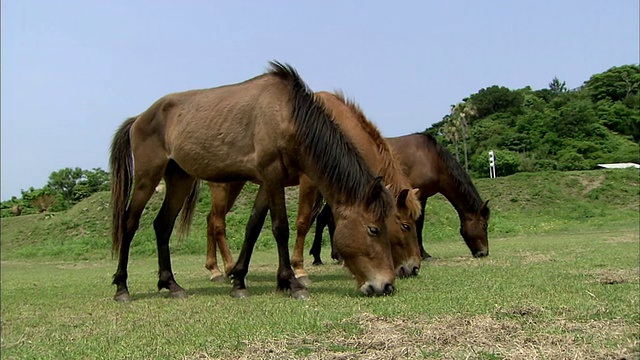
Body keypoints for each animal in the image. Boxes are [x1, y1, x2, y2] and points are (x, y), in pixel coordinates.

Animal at [110, 61, 400, 300]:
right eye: (373, 229)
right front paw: (292, 283)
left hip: (179, 179)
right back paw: (122, 288)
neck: (288, 115)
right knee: (130, 223)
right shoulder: (272, 176)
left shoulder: (268, 182)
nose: (387, 285)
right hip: (147, 178)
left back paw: (172, 285)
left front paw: (240, 281)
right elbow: (281, 227)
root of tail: (140, 118)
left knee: (163, 225)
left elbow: (253, 227)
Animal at [202, 91, 422, 286]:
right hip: (222, 186)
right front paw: (300, 270)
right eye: (405, 225)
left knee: (210, 219)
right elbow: (304, 222)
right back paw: (227, 268)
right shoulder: (309, 182)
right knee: (218, 223)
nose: (414, 267)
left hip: (235, 184)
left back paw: (215, 269)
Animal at [310, 132, 490, 264]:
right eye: (484, 225)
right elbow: (419, 223)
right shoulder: (419, 195)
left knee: (325, 218)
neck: (432, 159)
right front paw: (423, 253)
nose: (484, 252)